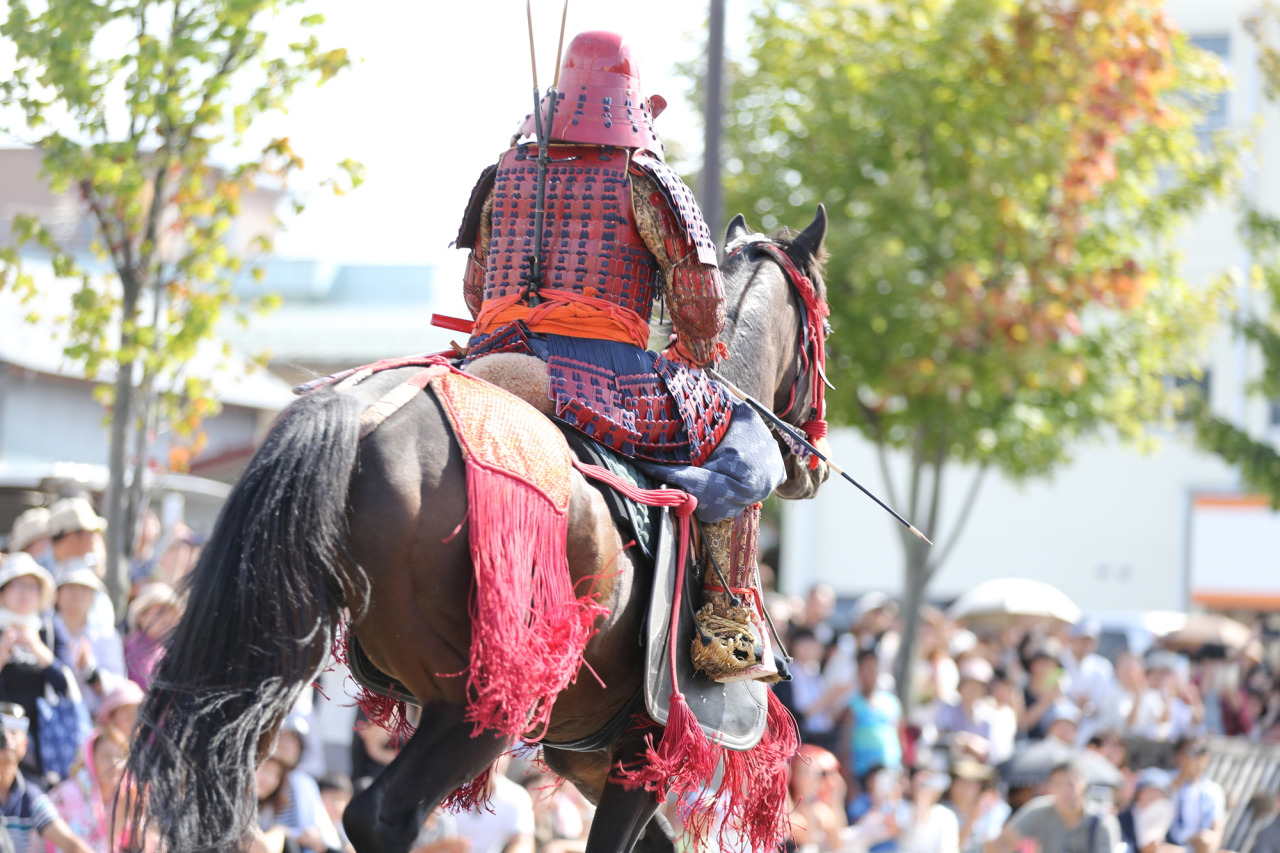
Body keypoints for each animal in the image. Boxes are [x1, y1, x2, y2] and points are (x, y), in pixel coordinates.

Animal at [124, 206, 834, 850]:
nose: (814, 463)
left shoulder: (587, 755)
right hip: (486, 702)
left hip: (277, 652)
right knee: (384, 817)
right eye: (823, 327)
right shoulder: (644, 749)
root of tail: (358, 419)